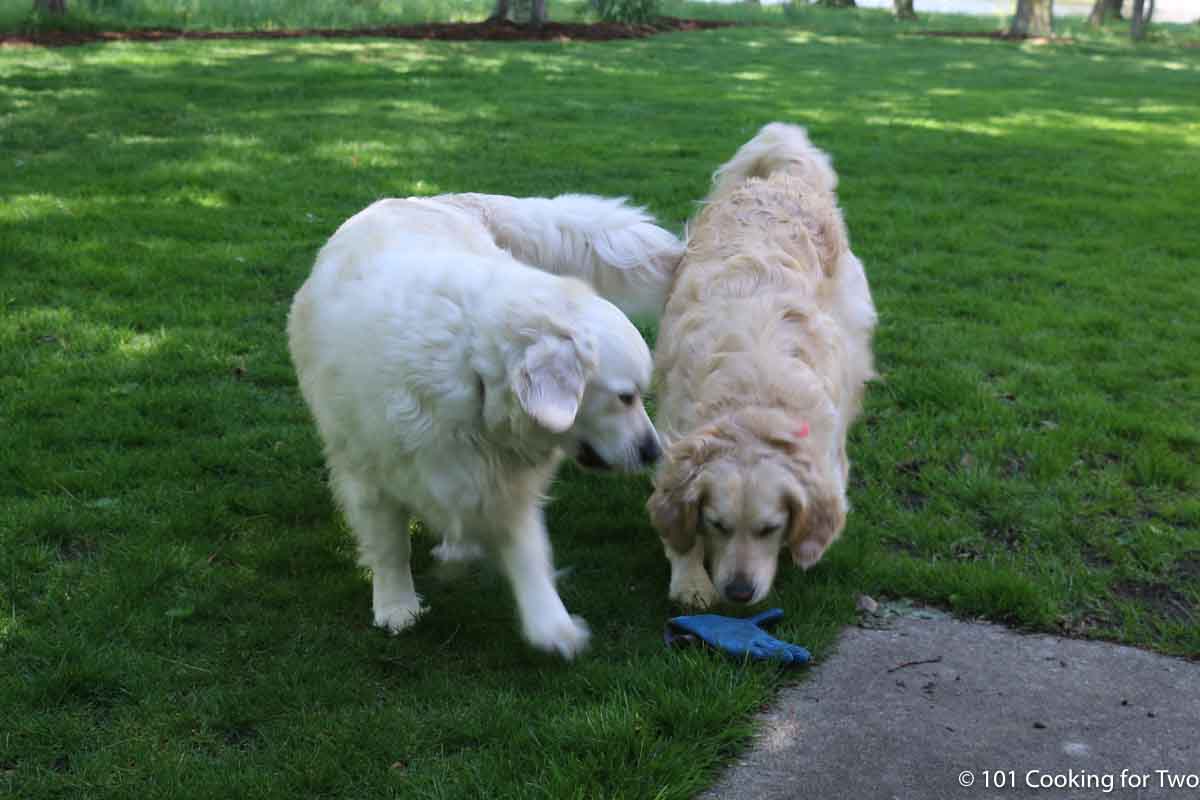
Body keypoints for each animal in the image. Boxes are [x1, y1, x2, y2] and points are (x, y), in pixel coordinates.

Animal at [289, 191, 681, 657]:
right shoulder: (370, 478)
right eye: (625, 397)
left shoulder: (503, 482)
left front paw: (551, 623)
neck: (472, 375)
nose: (654, 452)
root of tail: (437, 198)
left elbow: (527, 549)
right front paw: (396, 604)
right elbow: (390, 546)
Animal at [652, 125, 878, 609]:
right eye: (715, 524)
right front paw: (691, 580)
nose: (738, 592)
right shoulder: (673, 433)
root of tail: (779, 180)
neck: (753, 405)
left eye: (770, 528)